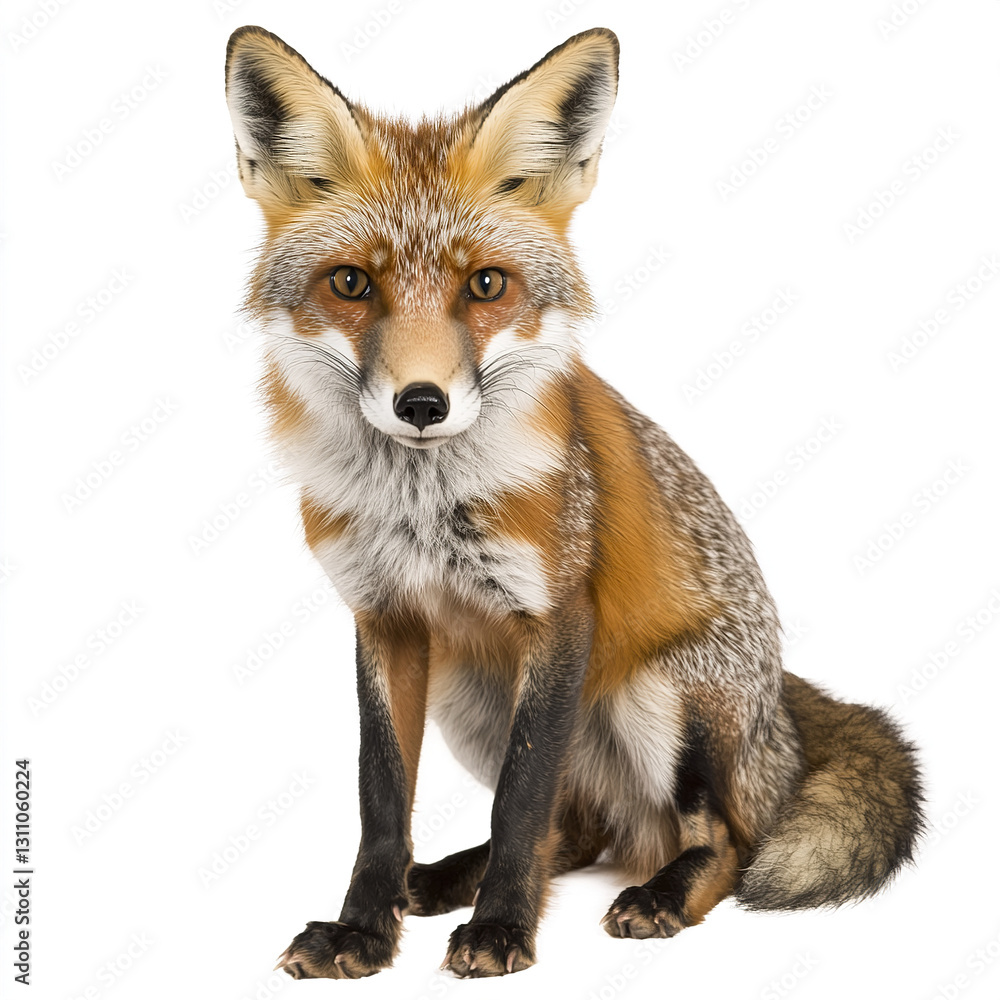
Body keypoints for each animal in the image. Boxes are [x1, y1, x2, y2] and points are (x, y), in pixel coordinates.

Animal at [224, 25, 924, 979]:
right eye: (351, 284)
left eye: (486, 285)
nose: (421, 403)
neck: (421, 506)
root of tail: (779, 700)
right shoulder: (385, 619)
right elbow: (382, 803)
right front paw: (364, 930)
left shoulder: (556, 618)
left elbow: (521, 803)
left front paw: (501, 930)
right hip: (468, 692)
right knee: (580, 829)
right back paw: (438, 880)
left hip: (665, 698)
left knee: (722, 841)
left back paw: (658, 894)